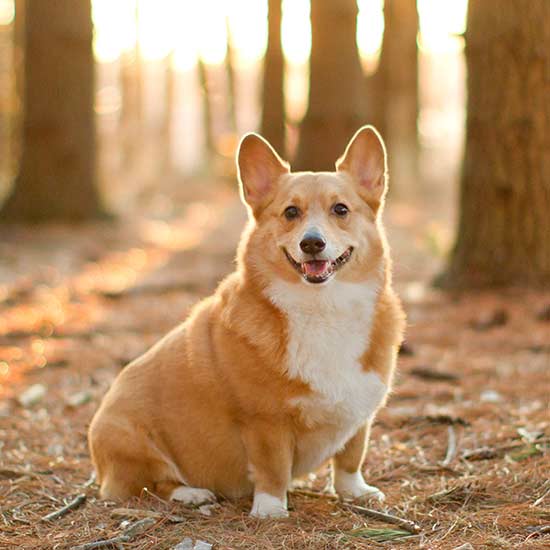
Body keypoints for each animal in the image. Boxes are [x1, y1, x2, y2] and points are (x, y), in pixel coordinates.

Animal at [89, 127, 406, 520]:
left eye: (341, 210)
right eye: (290, 212)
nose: (312, 243)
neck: (322, 306)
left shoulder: (360, 414)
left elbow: (350, 458)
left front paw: (355, 493)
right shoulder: (264, 422)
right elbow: (272, 469)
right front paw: (270, 510)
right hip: (129, 438)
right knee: (153, 484)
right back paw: (191, 494)